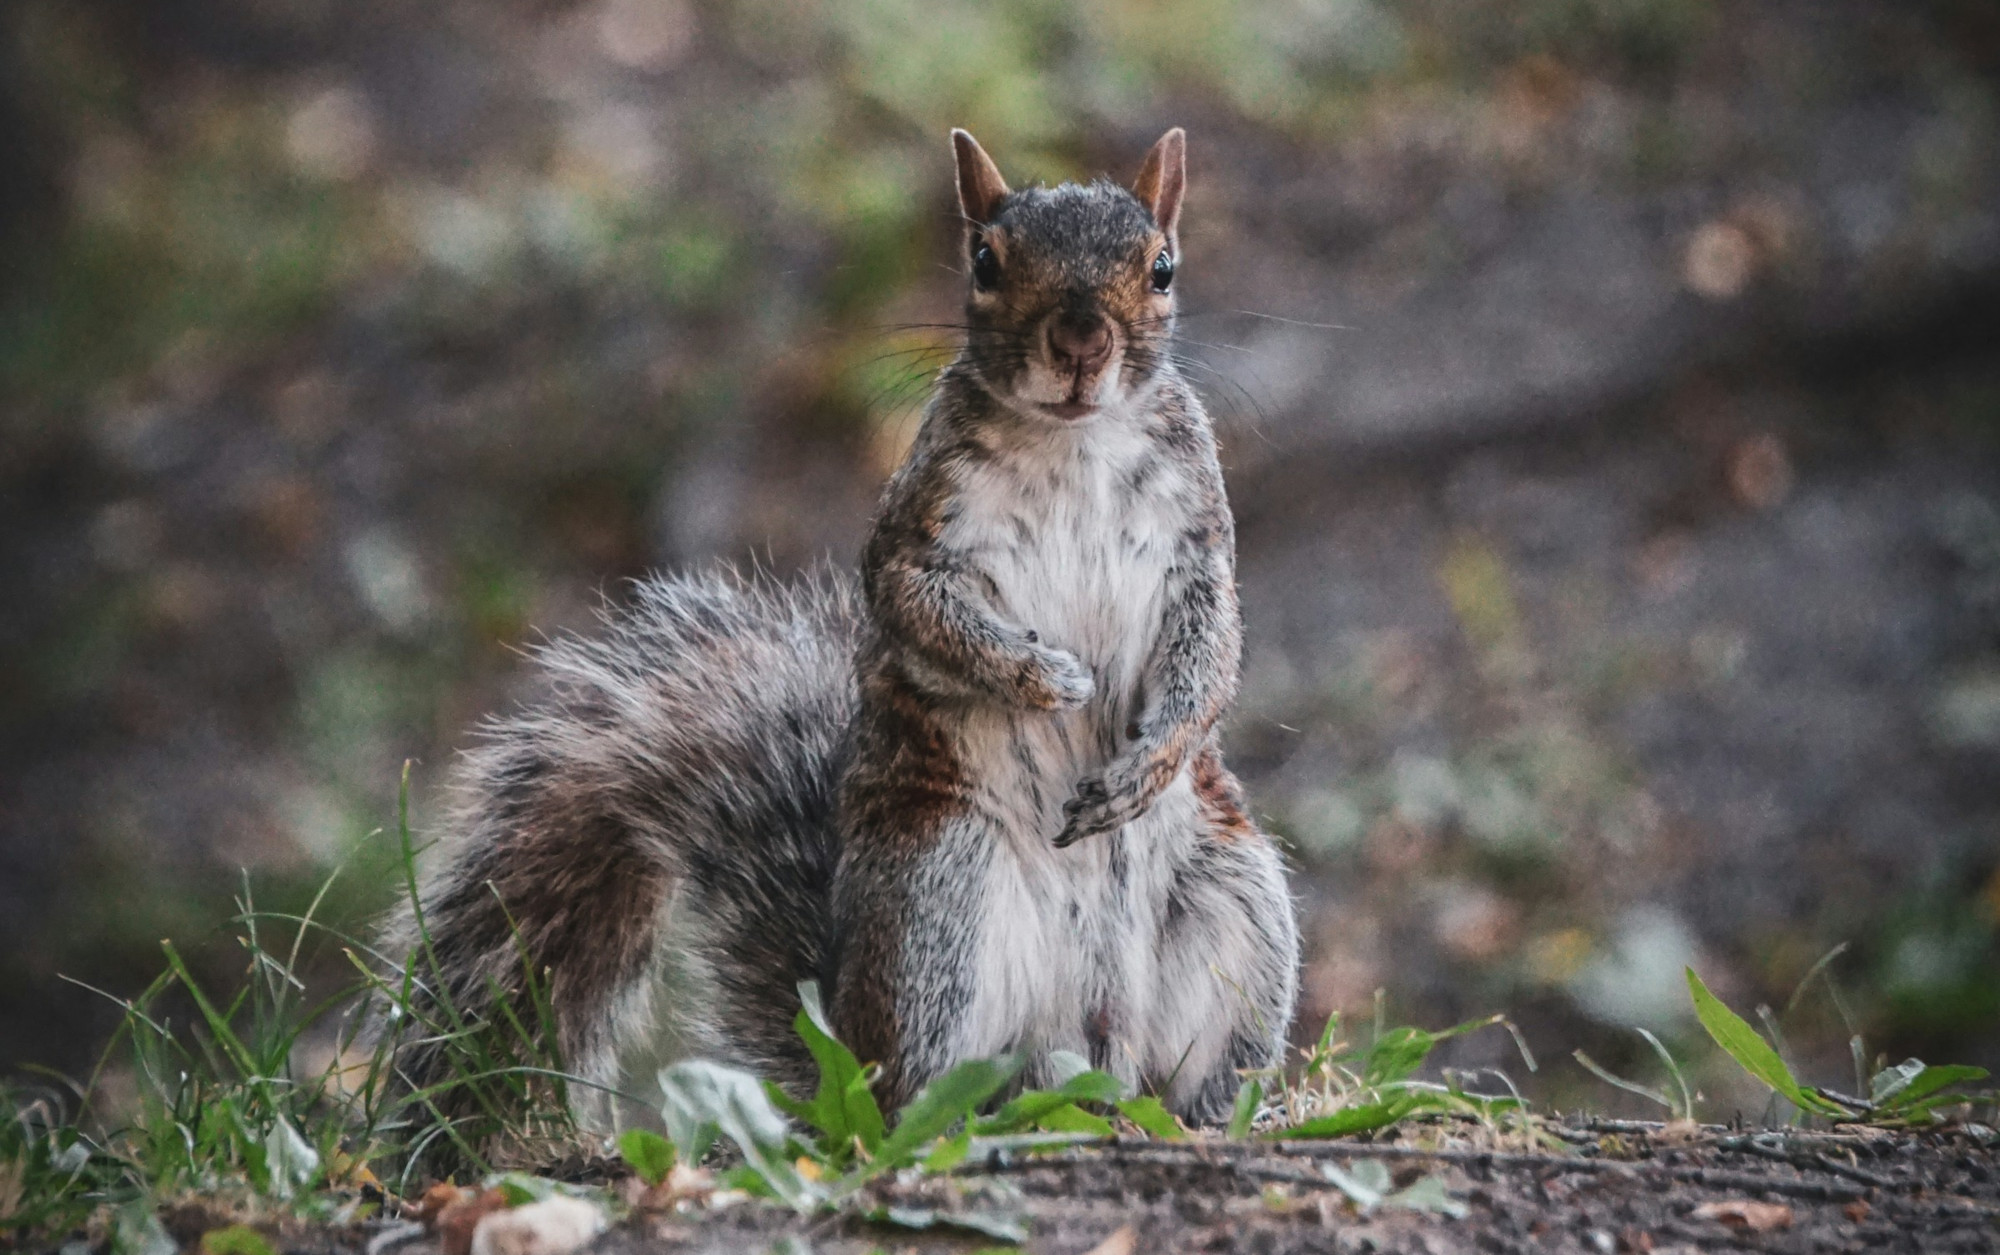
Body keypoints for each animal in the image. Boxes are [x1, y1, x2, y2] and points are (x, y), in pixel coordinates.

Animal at [386, 127, 1296, 1127]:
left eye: (1162, 267)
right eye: (985, 260)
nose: (1081, 342)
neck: (1074, 441)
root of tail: (1091, 1054)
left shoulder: (1197, 548)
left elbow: (1210, 654)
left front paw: (1150, 759)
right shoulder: (914, 536)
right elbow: (926, 616)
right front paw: (1040, 678)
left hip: (1237, 903)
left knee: (1198, 1068)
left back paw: (1212, 1115)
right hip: (937, 903)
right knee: (910, 1094)